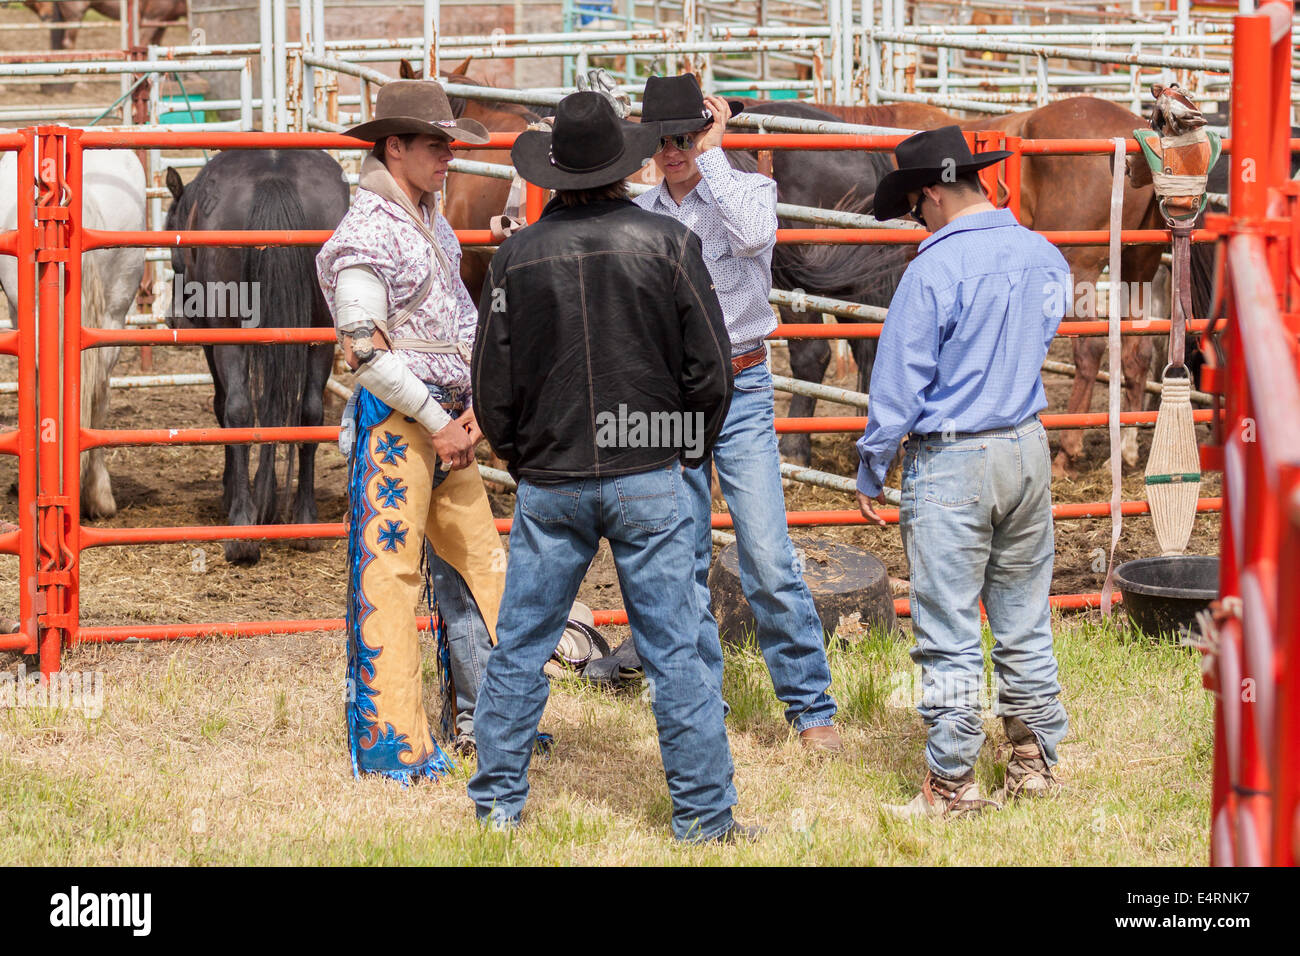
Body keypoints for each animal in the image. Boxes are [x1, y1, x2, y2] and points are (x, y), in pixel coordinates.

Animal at [165, 149, 348, 564]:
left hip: (228, 335)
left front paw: (234, 491)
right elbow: (273, 408)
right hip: (321, 335)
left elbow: (227, 407)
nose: (175, 316)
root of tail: (273, 176)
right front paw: (269, 497)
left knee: (237, 410)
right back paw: (303, 522)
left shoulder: (215, 339)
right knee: (308, 414)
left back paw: (241, 531)